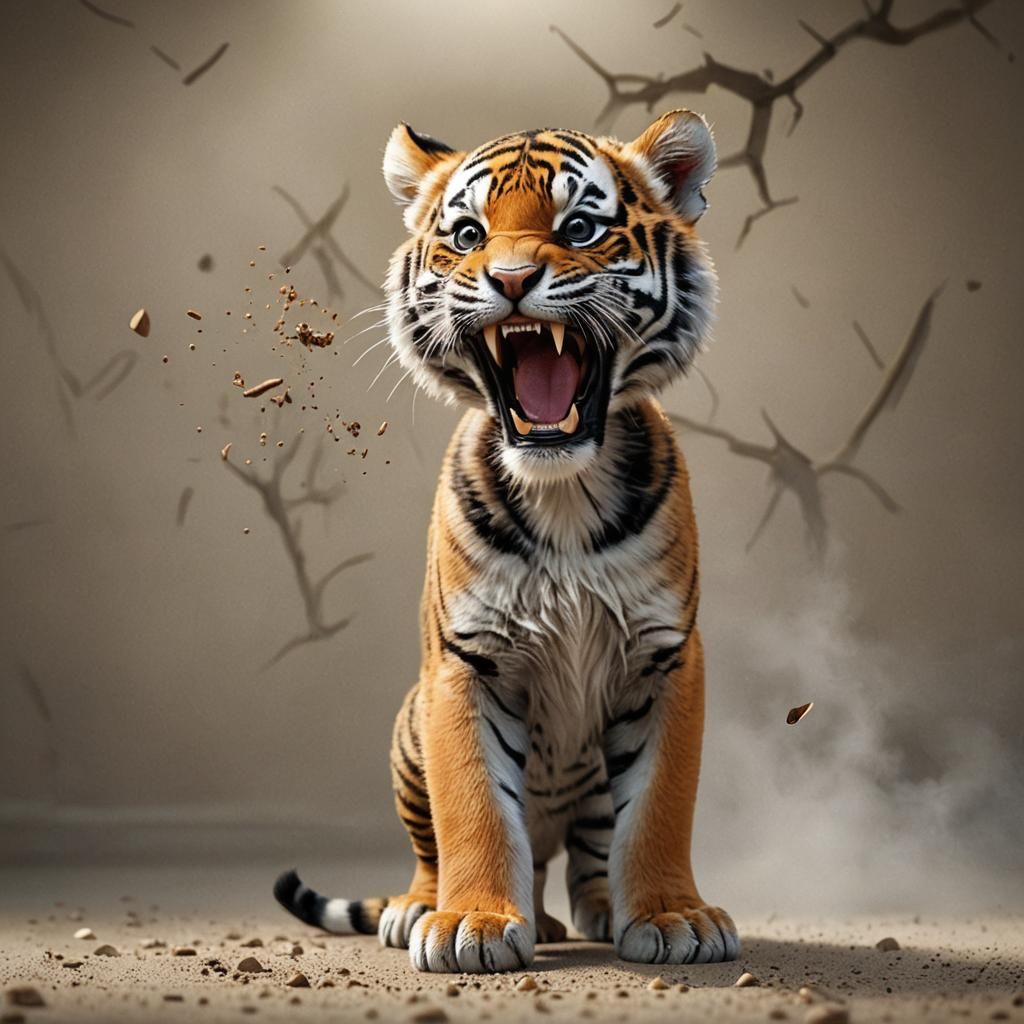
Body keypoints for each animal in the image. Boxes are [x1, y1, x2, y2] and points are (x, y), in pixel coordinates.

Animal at [274, 110, 740, 973]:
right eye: (467, 235)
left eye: (579, 227)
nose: (513, 279)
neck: (564, 491)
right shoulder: (465, 663)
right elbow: (475, 807)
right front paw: (475, 923)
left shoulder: (667, 656)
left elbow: (660, 803)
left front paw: (672, 917)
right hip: (409, 727)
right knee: (435, 848)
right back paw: (423, 908)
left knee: (587, 853)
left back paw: (592, 912)